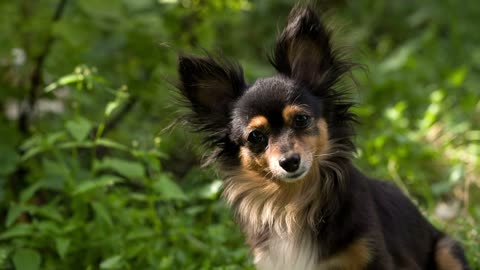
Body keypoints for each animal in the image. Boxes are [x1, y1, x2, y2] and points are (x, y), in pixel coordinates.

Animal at [175, 4, 468, 270]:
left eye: (301, 119)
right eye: (255, 136)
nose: (290, 162)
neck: (292, 203)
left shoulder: (374, 256)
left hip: (446, 248)